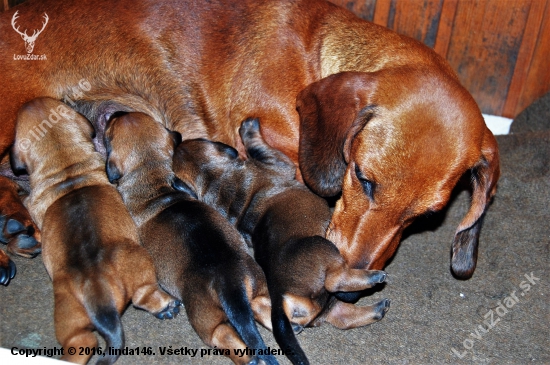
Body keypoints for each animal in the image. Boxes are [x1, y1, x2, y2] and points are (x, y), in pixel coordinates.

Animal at [104, 111, 278, 364]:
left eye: (109, 131)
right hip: (257, 287)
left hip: (204, 319)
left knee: (223, 335)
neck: (155, 178)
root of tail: (231, 283)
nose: (115, 112)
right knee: (263, 308)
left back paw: (250, 358)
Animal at [175, 119, 390, 364]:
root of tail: (279, 298)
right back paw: (374, 277)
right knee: (335, 281)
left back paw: (377, 308)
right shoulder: (277, 162)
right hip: (322, 246)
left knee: (341, 316)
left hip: (322, 307)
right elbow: (259, 147)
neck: (216, 178)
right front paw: (249, 128)